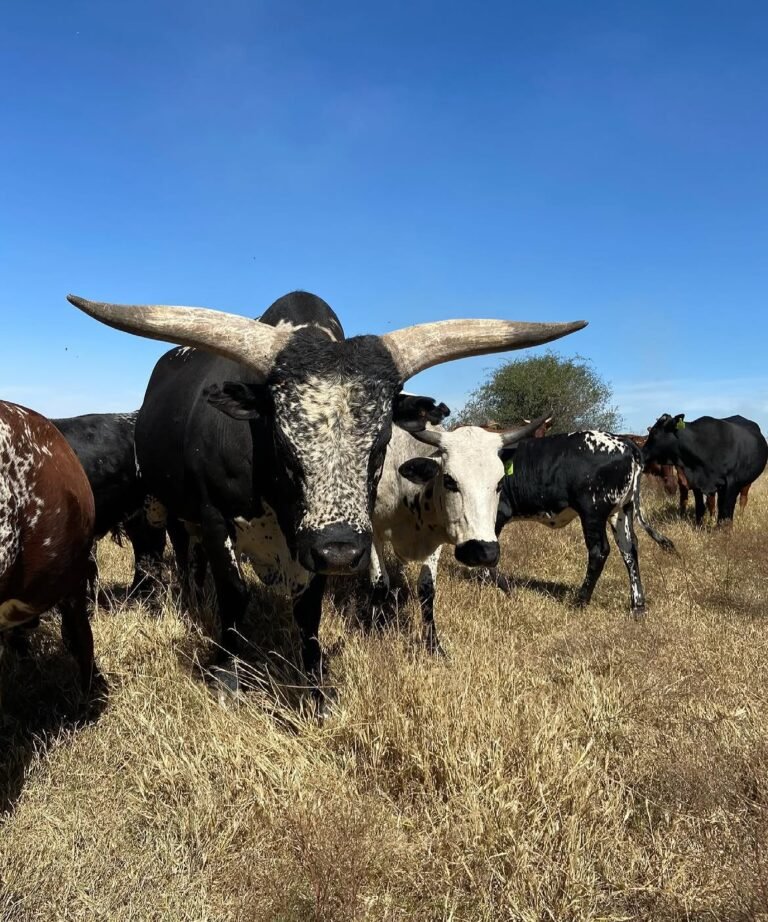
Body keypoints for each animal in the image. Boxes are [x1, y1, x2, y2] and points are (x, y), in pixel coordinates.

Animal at [369, 416, 548, 655]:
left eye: (500, 482)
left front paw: (434, 645)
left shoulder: (434, 542)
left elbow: (427, 589)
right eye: (449, 480)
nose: (483, 552)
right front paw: (375, 630)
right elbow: (380, 583)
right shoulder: (372, 531)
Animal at [494, 431, 675, 615]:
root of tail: (623, 441)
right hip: (621, 510)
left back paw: (580, 601)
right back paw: (637, 606)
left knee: (599, 551)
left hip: (592, 513)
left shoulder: (498, 514)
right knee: (629, 548)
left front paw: (506, 589)